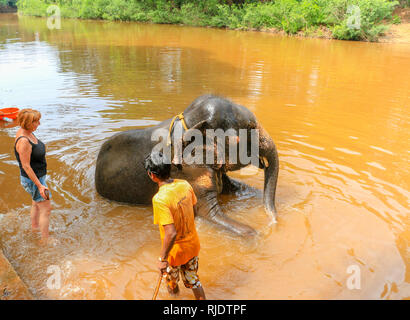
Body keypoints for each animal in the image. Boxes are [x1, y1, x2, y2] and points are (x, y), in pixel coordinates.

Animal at [95, 94, 278, 236]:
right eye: (250, 127)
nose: (273, 220)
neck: (191, 119)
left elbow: (238, 188)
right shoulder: (188, 169)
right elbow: (208, 213)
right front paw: (257, 234)